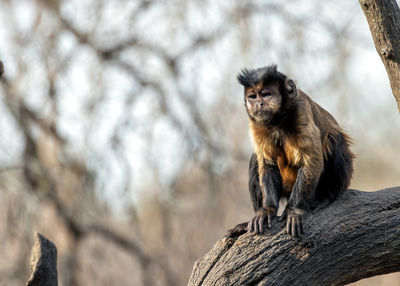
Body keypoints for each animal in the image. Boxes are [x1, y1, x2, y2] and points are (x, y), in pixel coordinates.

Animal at [227, 66, 354, 238]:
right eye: (252, 97)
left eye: (266, 94)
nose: (258, 104)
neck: (277, 121)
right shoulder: (256, 123)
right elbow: (267, 164)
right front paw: (267, 210)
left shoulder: (300, 111)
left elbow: (312, 161)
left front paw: (293, 210)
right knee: (255, 159)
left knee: (334, 138)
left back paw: (327, 198)